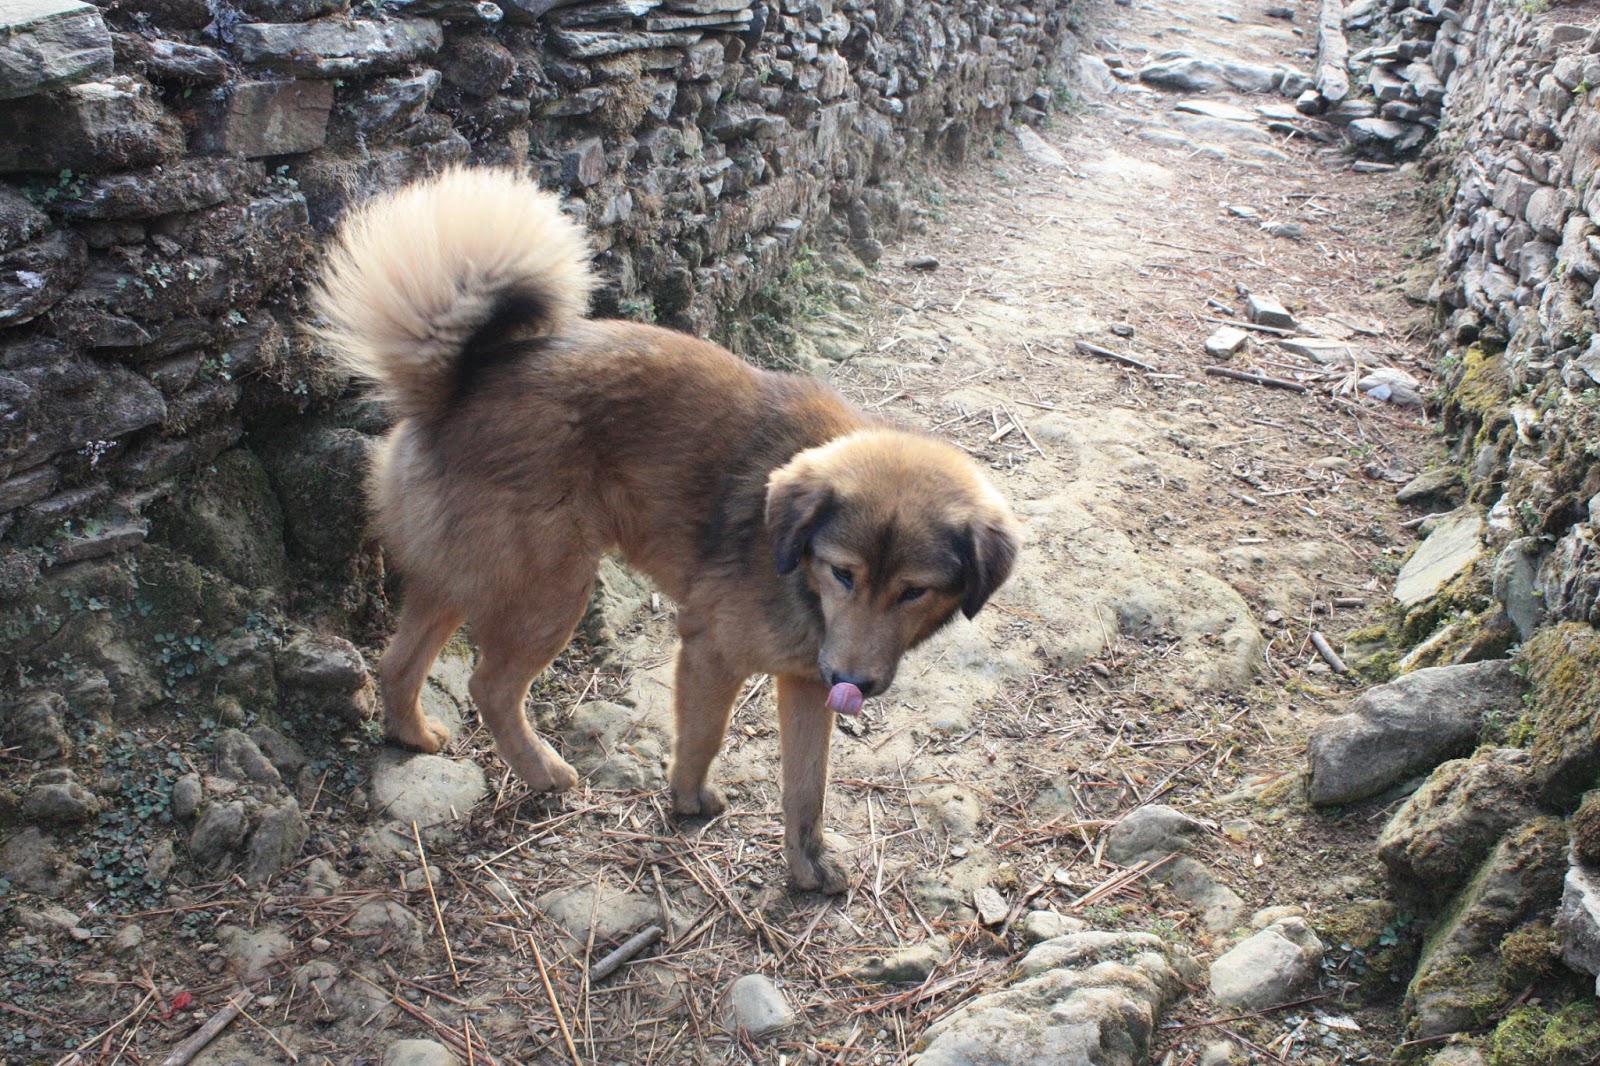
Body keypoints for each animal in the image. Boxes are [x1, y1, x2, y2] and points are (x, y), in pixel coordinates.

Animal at [312, 170, 1017, 889]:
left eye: (914, 591)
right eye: (843, 572)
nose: (854, 680)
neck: (796, 564)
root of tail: (457, 384)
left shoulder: (804, 682)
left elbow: (806, 788)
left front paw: (807, 863)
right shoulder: (712, 652)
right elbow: (706, 737)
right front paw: (688, 799)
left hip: (461, 577)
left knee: (399, 662)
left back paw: (412, 735)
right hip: (552, 590)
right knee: (491, 687)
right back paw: (543, 772)